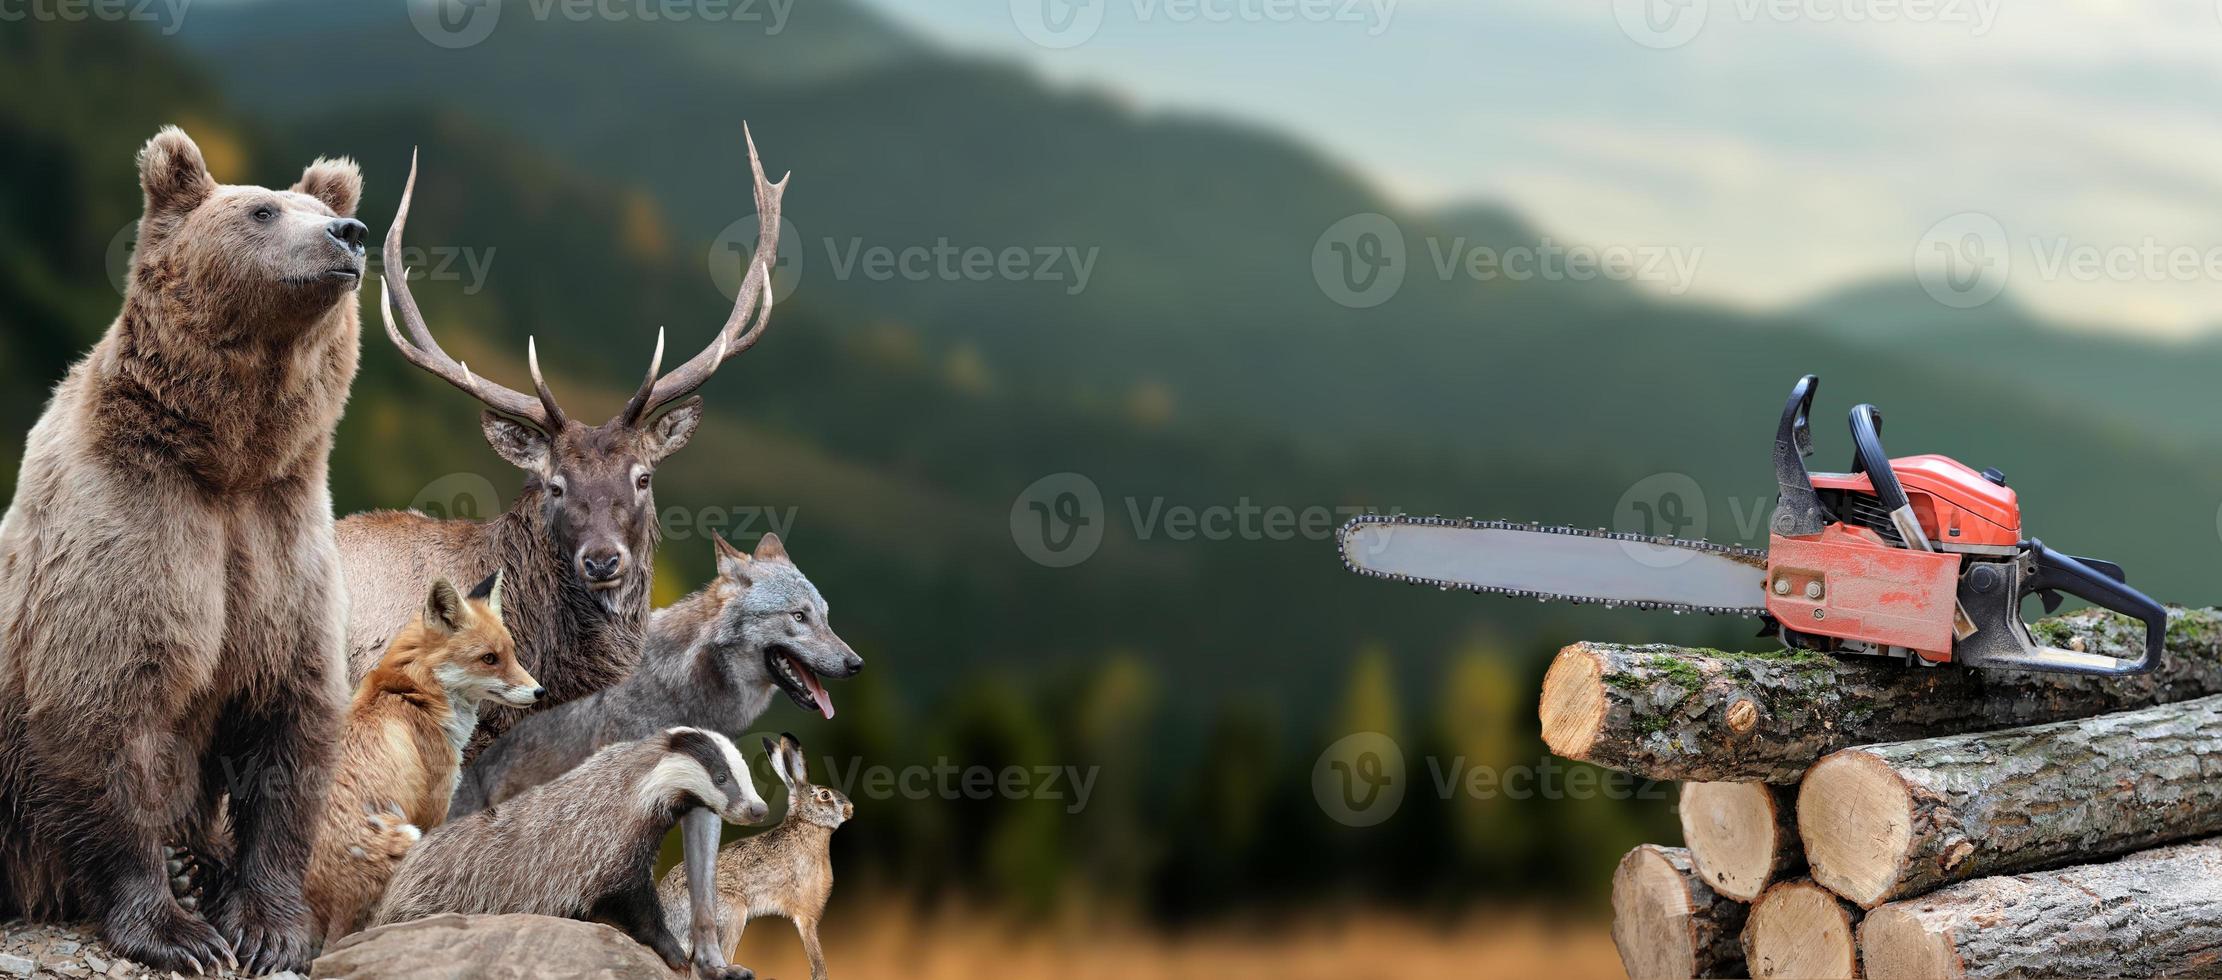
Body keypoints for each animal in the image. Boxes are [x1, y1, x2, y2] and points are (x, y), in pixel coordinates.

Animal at [0, 126, 364, 973]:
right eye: (263, 210)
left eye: (316, 205)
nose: (349, 233)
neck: (226, 463)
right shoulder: (130, 527)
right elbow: (107, 711)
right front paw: (176, 928)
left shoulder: (280, 545)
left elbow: (291, 718)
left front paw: (266, 927)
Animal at [302, 573, 539, 937]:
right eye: (489, 658)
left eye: (512, 653)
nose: (540, 691)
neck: (412, 693)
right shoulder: (434, 805)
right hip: (408, 836)